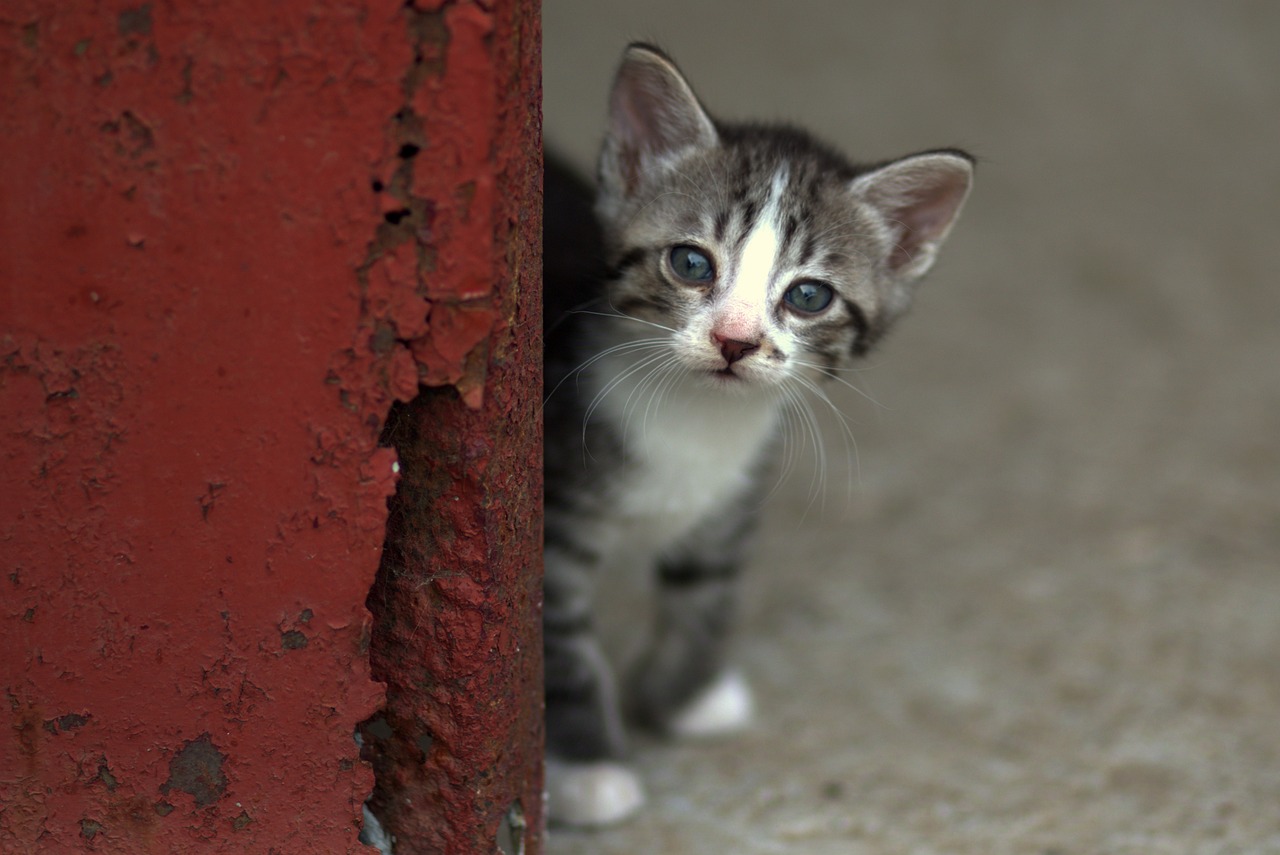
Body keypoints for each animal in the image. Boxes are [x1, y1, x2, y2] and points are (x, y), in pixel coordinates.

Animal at [540, 41, 967, 829]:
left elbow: (708, 595)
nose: (735, 340)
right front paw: (588, 769)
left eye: (807, 295)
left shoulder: (730, 497)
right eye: (690, 262)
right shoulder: (553, 517)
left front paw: (685, 696)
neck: (694, 422)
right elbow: (563, 650)